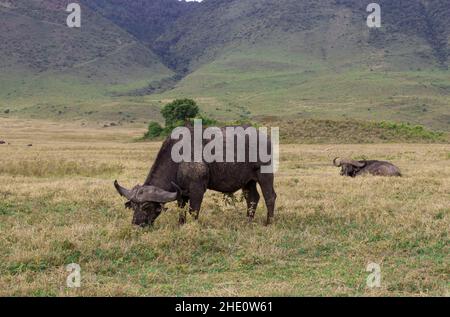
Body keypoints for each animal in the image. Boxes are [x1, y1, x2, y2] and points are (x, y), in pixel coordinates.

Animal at [115, 124, 278, 226]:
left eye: (147, 206)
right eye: (133, 206)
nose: (136, 224)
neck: (178, 160)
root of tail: (266, 139)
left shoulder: (197, 190)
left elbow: (193, 211)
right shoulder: (181, 193)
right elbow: (181, 211)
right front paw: (180, 225)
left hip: (265, 175)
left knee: (270, 197)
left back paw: (269, 223)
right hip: (248, 181)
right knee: (252, 198)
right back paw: (248, 221)